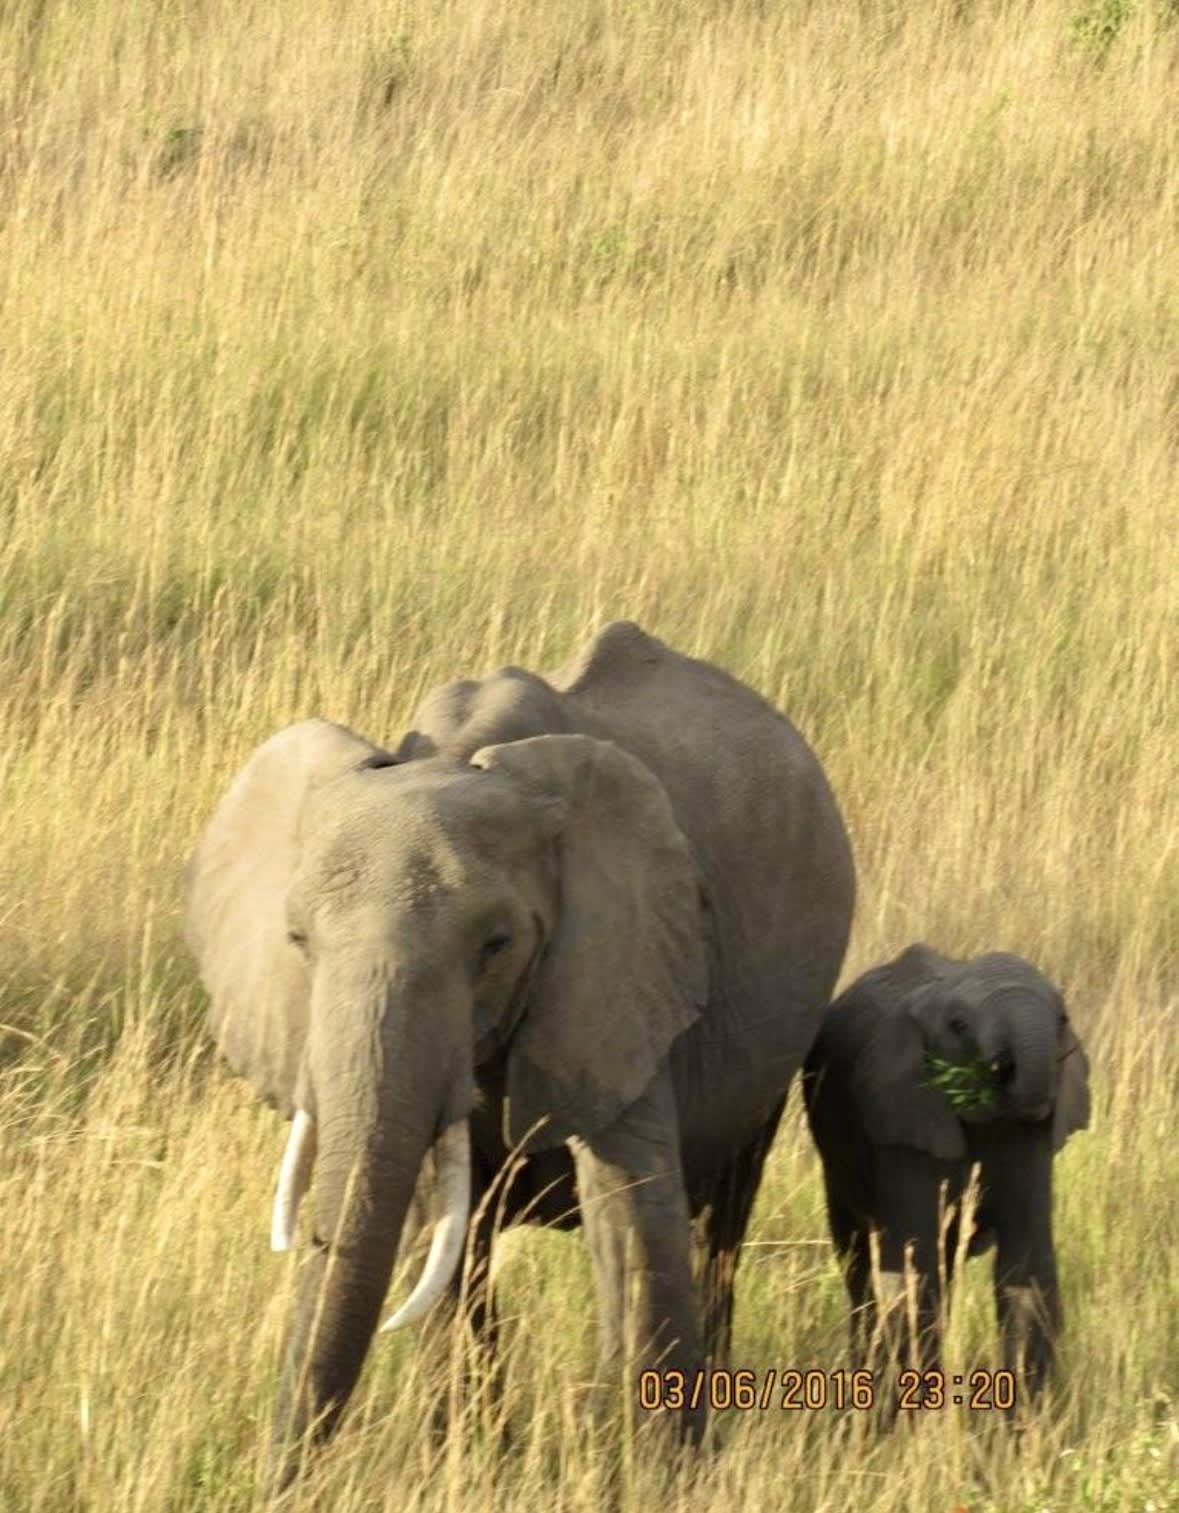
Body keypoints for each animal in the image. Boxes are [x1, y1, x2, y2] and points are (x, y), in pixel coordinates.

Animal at [183, 620, 855, 1485]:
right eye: (297, 939)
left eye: (496, 944)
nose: (280, 1483)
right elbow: (434, 1223)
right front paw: (471, 1467)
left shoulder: (624, 958)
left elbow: (630, 1208)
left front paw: (661, 1478)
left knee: (723, 1211)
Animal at [801, 943, 1090, 1409]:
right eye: (959, 1026)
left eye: (1063, 1019)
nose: (1001, 1068)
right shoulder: (903, 1117)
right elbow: (917, 1268)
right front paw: (915, 1413)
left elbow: (1026, 1267)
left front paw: (1031, 1421)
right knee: (858, 1260)